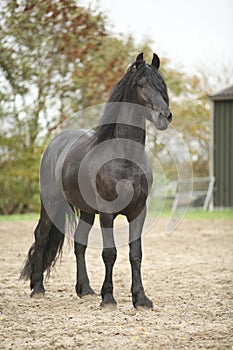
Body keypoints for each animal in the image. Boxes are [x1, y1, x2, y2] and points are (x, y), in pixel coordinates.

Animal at [20, 52, 172, 308]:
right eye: (141, 84)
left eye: (162, 86)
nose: (165, 116)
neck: (124, 159)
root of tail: (55, 144)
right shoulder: (108, 214)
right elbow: (109, 254)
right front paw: (108, 298)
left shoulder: (138, 212)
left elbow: (135, 254)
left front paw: (141, 299)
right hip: (50, 203)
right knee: (41, 237)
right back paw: (38, 288)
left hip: (87, 210)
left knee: (79, 243)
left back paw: (85, 289)